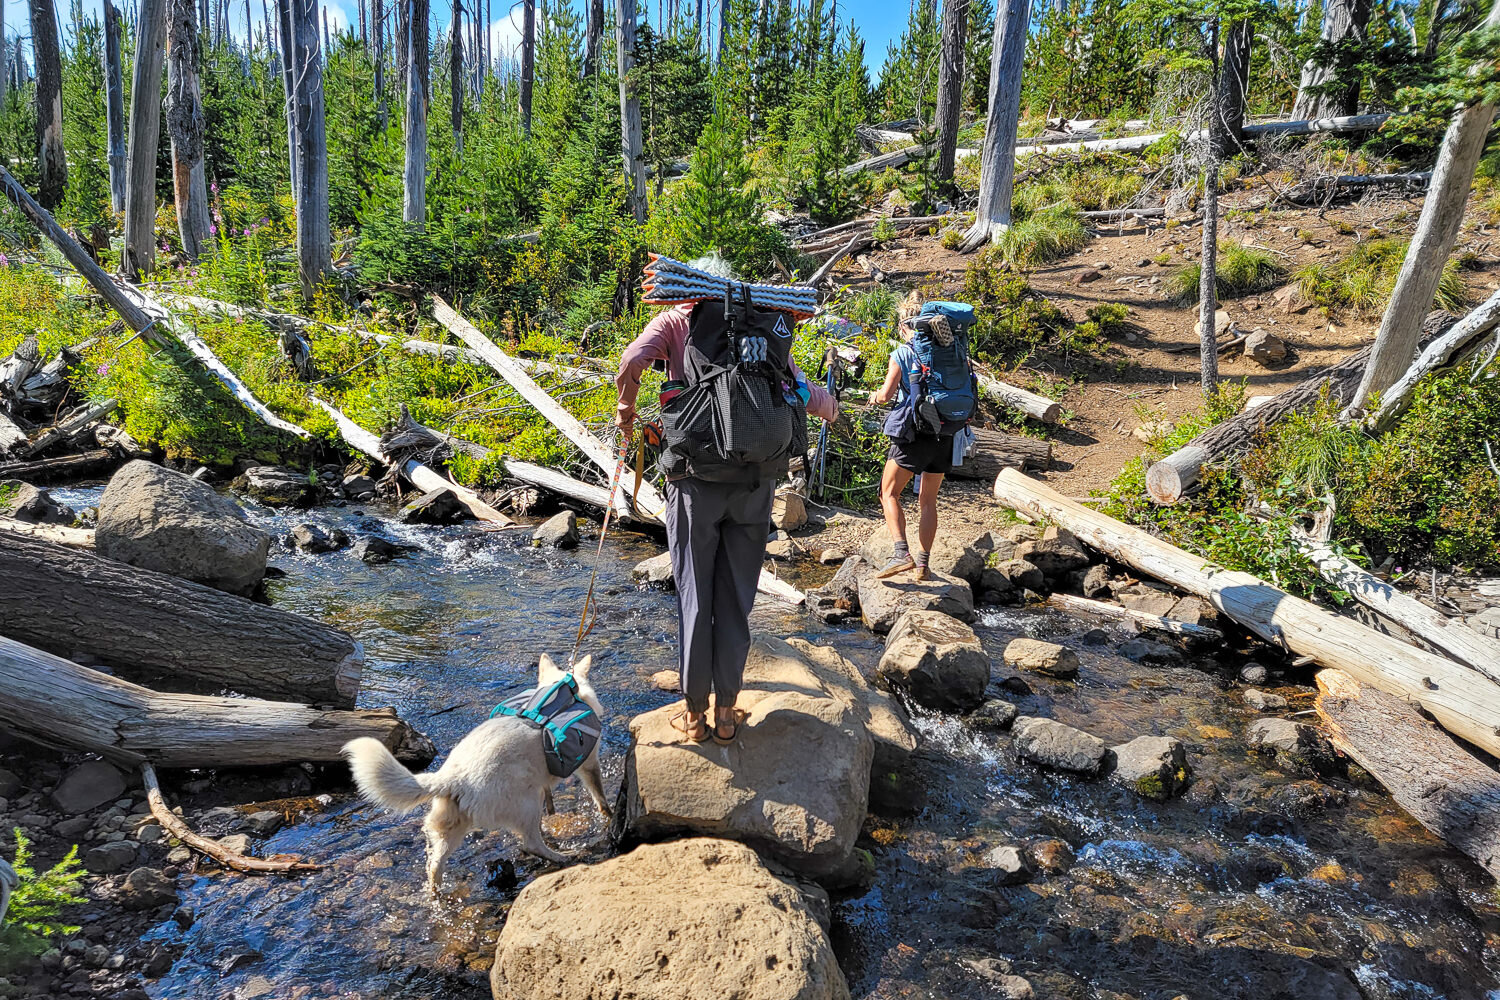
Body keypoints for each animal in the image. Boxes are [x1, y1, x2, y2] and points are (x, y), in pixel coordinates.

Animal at [343, 656, 612, 893]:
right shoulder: (589, 764)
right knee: (531, 843)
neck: (565, 689)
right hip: (526, 803)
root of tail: (454, 778)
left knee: (434, 865)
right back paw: (562, 857)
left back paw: (437, 894)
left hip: (451, 827)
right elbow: (600, 797)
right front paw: (608, 815)